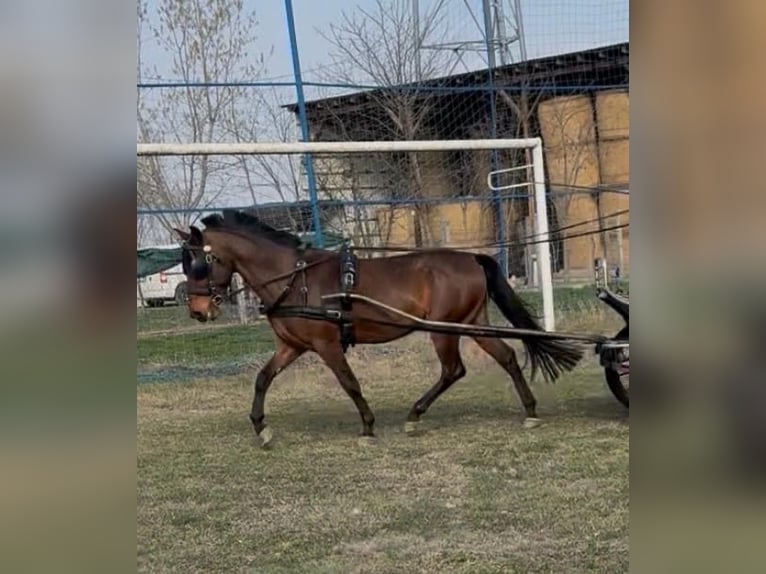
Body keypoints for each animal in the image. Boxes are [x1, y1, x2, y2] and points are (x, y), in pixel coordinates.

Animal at [173, 209, 583, 446]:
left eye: (200, 263)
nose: (197, 311)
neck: (294, 279)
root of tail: (472, 258)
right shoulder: (292, 346)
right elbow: (262, 379)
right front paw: (261, 427)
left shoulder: (327, 344)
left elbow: (349, 382)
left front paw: (368, 427)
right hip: (471, 322)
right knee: (507, 356)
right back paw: (529, 410)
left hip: (443, 329)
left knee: (453, 370)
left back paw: (415, 416)